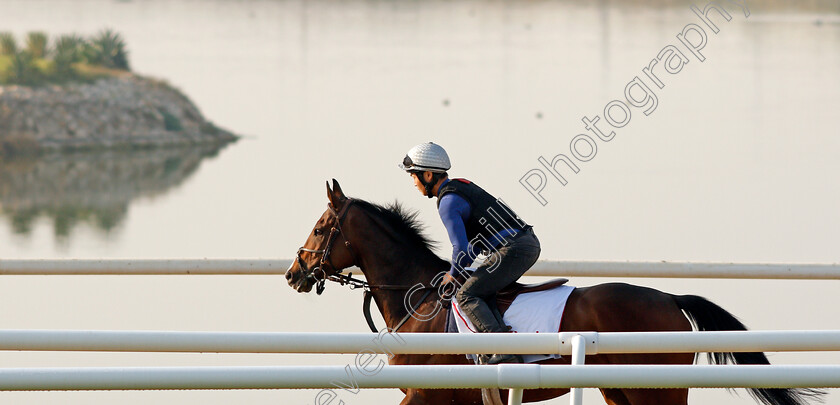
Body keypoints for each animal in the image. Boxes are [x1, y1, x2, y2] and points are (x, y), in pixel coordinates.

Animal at [286, 180, 824, 404]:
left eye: (320, 228)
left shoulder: (427, 393)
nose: (294, 272)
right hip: (620, 391)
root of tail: (672, 300)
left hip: (656, 390)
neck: (417, 305)